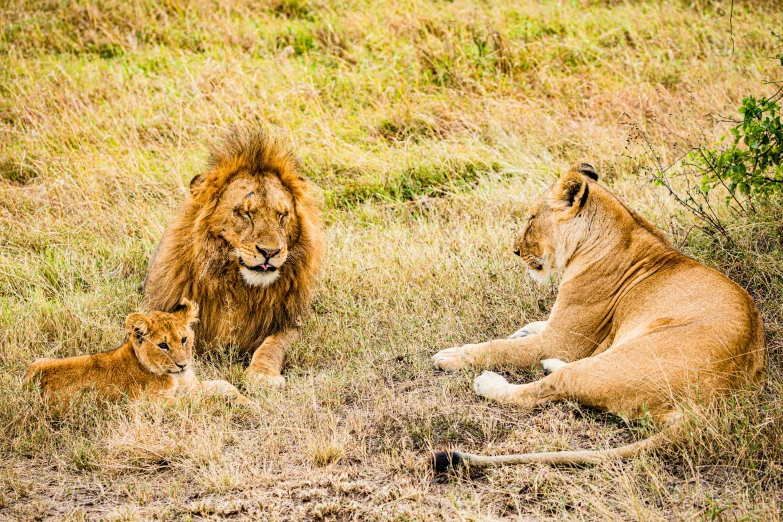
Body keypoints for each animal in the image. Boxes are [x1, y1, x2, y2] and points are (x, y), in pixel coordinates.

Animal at [26, 296, 248, 406]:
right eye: (163, 345)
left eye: (184, 339)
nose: (183, 365)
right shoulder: (152, 403)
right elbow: (198, 401)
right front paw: (226, 404)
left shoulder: (190, 385)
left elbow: (223, 384)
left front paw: (245, 400)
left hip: (40, 360)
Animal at [142, 128, 324, 384]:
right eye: (245, 213)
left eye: (282, 215)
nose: (270, 252)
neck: (239, 287)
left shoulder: (291, 322)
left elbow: (274, 345)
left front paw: (262, 374)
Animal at [428, 162, 764, 468]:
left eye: (532, 219)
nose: (515, 250)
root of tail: (719, 403)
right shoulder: (558, 331)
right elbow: (534, 327)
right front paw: (523, 329)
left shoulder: (562, 342)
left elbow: (499, 348)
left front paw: (453, 356)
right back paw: (547, 365)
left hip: (619, 361)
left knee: (545, 390)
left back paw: (490, 382)